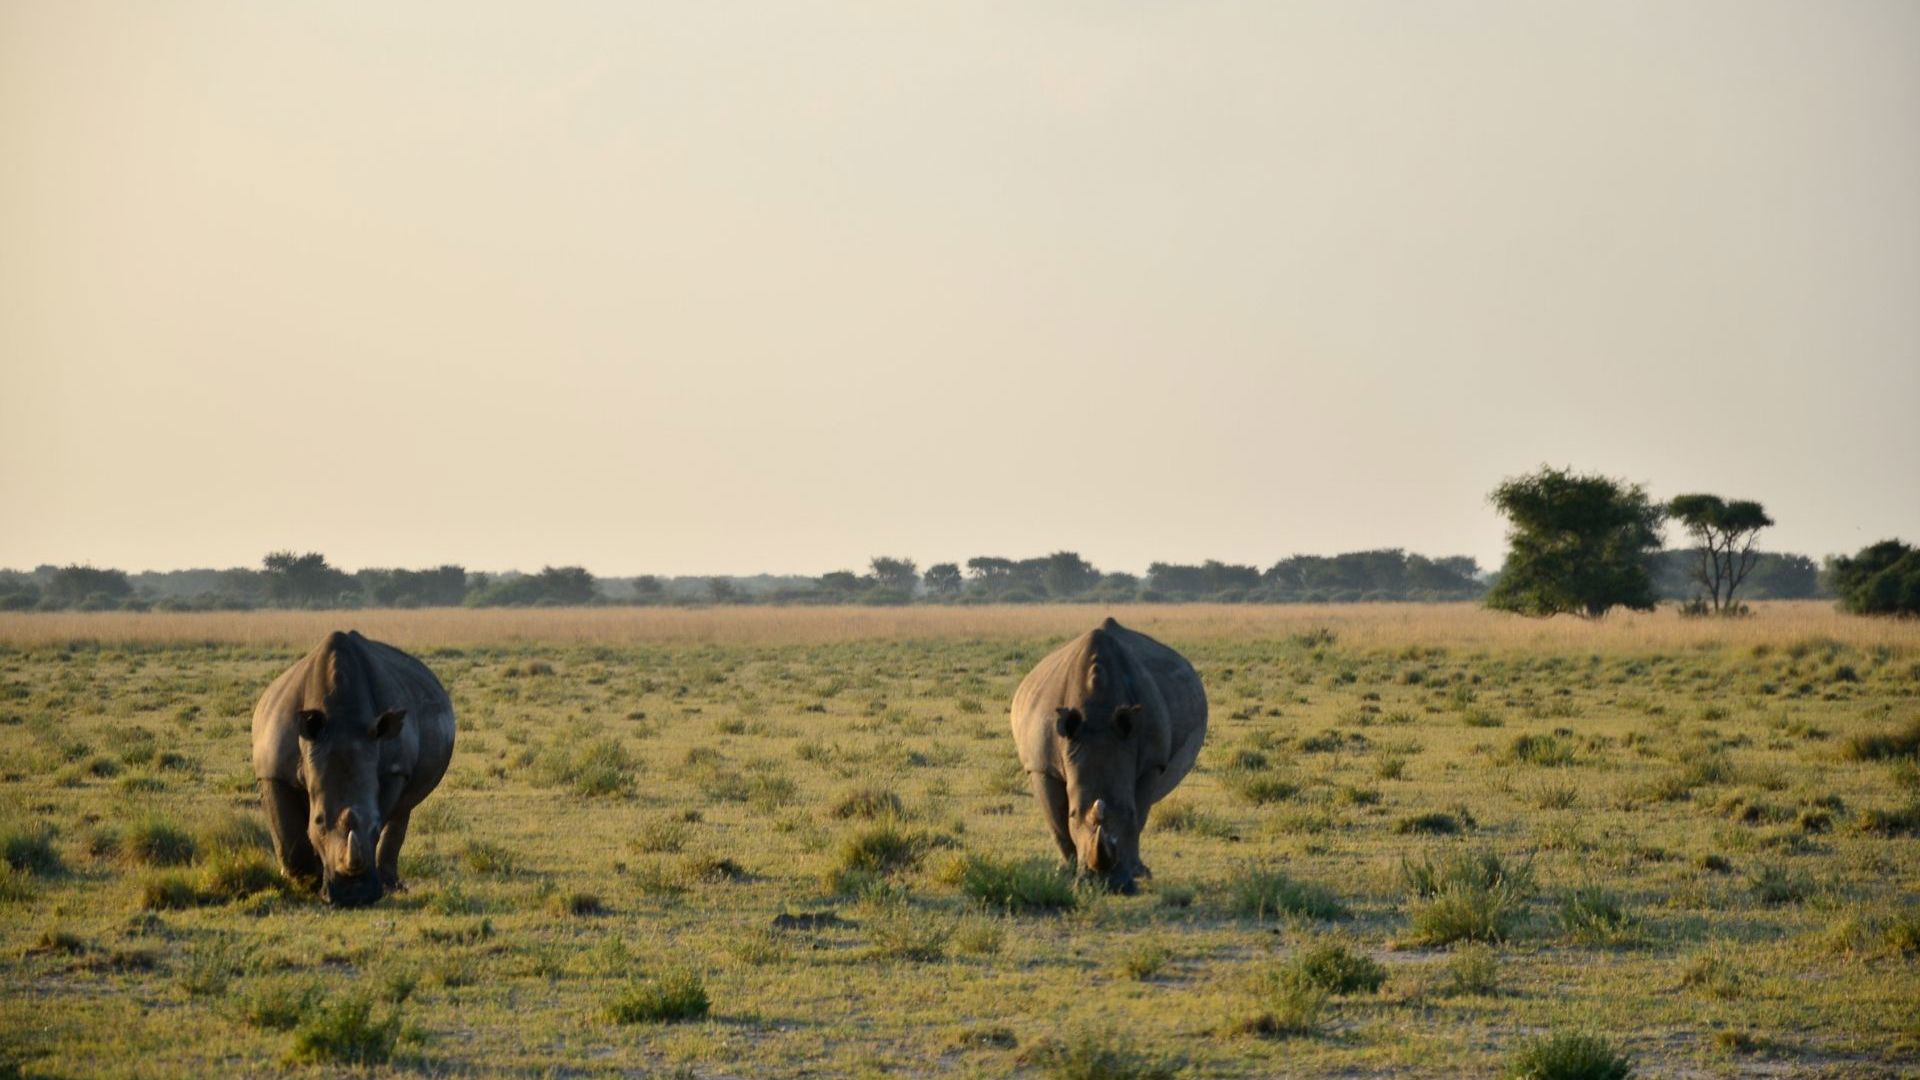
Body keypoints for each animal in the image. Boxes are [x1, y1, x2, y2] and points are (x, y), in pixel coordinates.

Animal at [251, 631, 455, 906]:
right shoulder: (274, 770)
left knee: (404, 808)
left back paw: (393, 886)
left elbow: (384, 813)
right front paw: (305, 882)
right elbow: (287, 832)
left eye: (375, 823)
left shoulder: (394, 768)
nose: (354, 896)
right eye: (318, 821)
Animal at [1010, 617, 1207, 893]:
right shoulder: (1041, 765)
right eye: (1074, 814)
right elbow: (1057, 823)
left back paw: (1141, 871)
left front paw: (1134, 872)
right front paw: (1067, 872)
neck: (1097, 713)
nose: (1107, 885)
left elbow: (1139, 816)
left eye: (1129, 812)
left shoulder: (1152, 763)